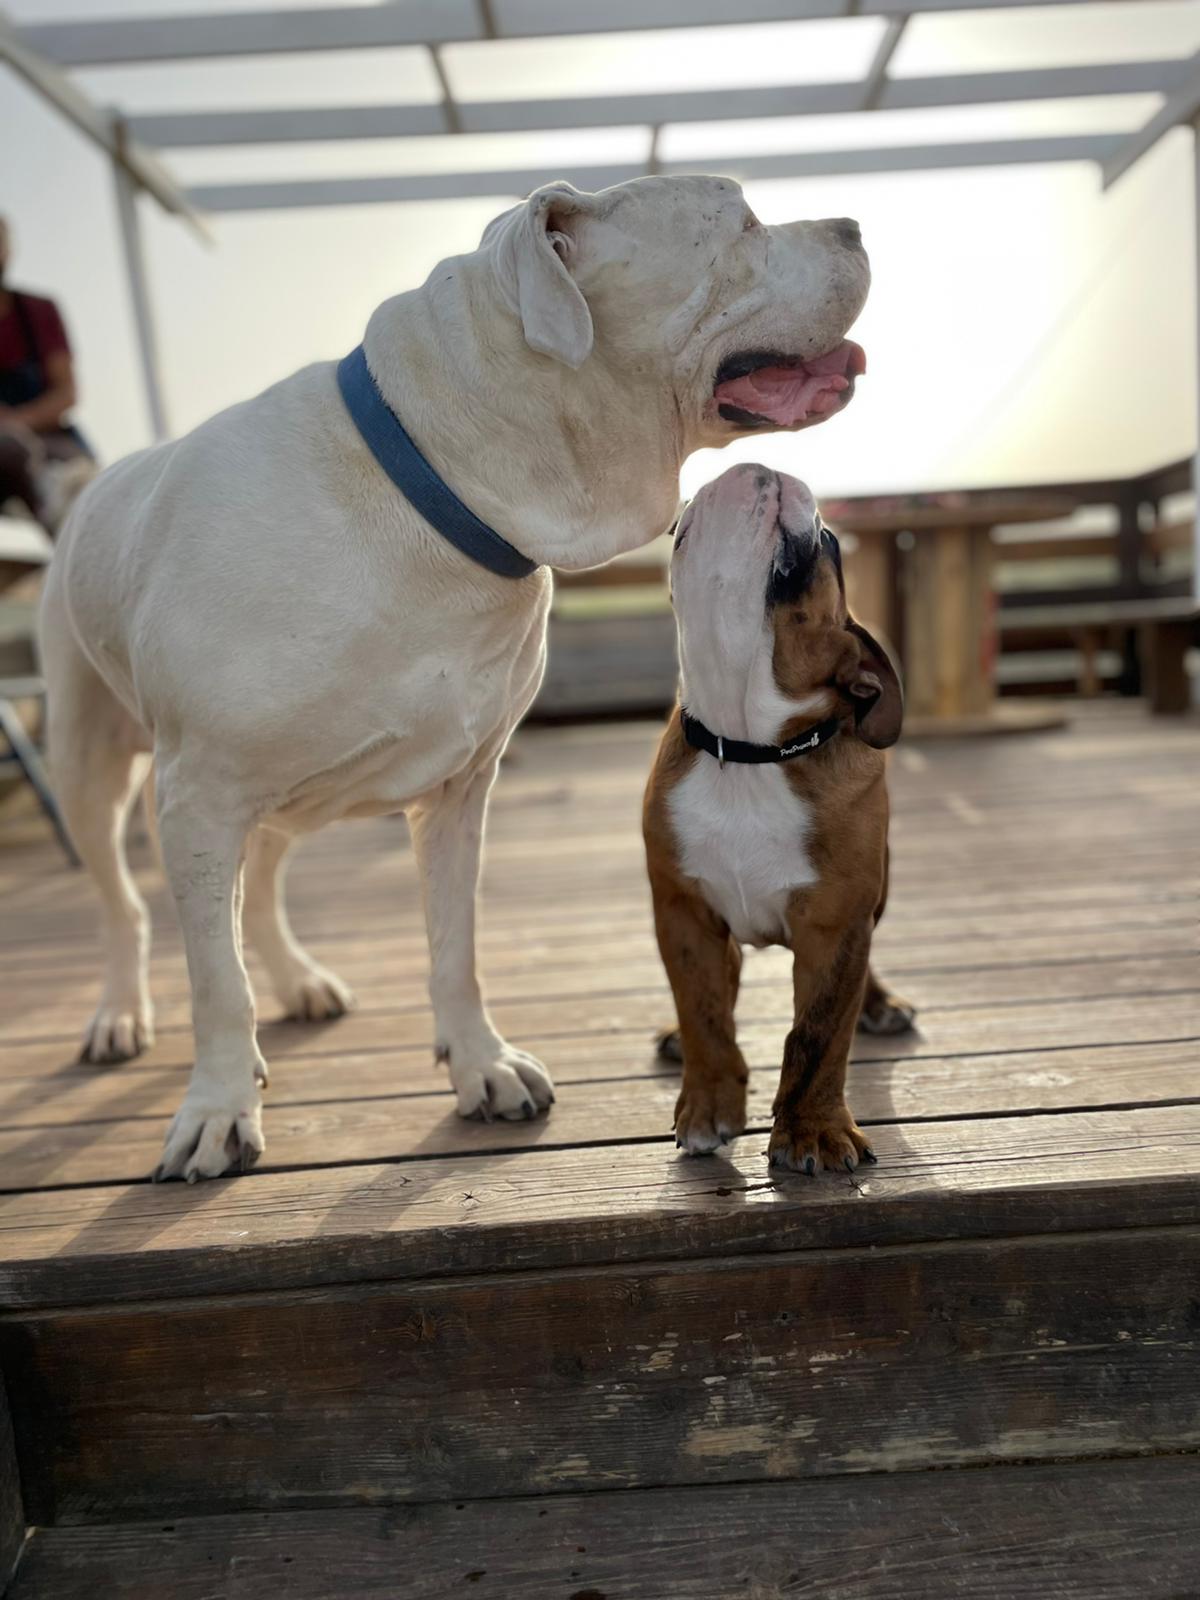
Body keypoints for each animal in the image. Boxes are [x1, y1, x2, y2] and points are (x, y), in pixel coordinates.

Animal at [42, 175, 870, 1184]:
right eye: (743, 225)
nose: (855, 224)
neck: (438, 485)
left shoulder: (458, 790)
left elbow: (453, 944)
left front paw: (481, 1066)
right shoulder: (199, 794)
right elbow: (213, 981)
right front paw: (217, 1108)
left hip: (289, 796)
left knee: (263, 875)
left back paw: (296, 979)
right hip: (89, 762)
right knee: (126, 903)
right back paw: (122, 1014)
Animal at [649, 464, 908, 1177]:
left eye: (830, 543)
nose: (761, 464)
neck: (747, 746)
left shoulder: (836, 924)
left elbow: (818, 1034)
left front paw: (812, 1129)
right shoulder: (683, 913)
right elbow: (705, 1014)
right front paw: (708, 1104)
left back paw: (880, 1003)